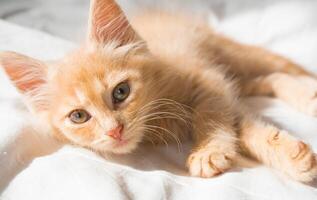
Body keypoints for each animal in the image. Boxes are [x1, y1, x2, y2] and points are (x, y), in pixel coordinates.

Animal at [0, 0, 316, 182]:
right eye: (79, 116)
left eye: (121, 92)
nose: (114, 131)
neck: (157, 114)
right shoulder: (224, 89)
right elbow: (245, 128)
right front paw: (289, 154)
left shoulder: (210, 82)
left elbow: (214, 118)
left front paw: (209, 151)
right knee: (268, 79)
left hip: (230, 54)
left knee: (281, 66)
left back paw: (310, 90)